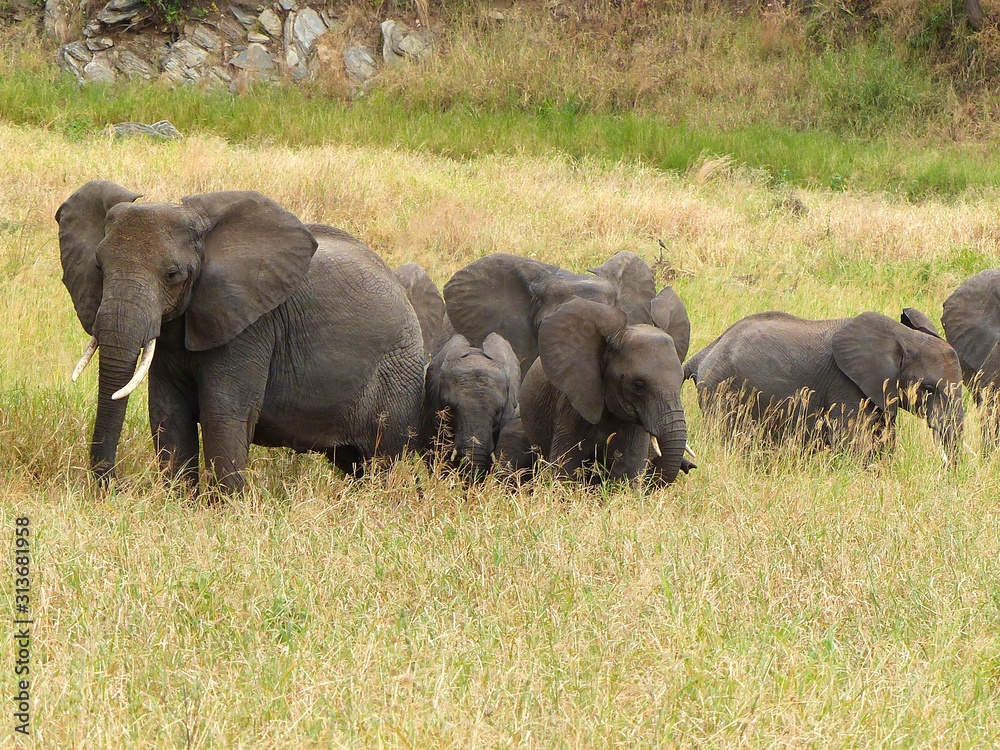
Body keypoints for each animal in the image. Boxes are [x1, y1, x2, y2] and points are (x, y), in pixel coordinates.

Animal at [57, 180, 425, 492]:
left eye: (173, 274)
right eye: (99, 266)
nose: (113, 488)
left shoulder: (252, 326)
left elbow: (223, 415)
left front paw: (224, 512)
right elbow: (168, 413)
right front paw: (180, 503)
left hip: (396, 375)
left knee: (383, 458)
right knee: (353, 462)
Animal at [684, 310, 964, 463]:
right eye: (928, 389)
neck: (904, 337)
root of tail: (702, 354)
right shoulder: (845, 384)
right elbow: (854, 444)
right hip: (723, 391)